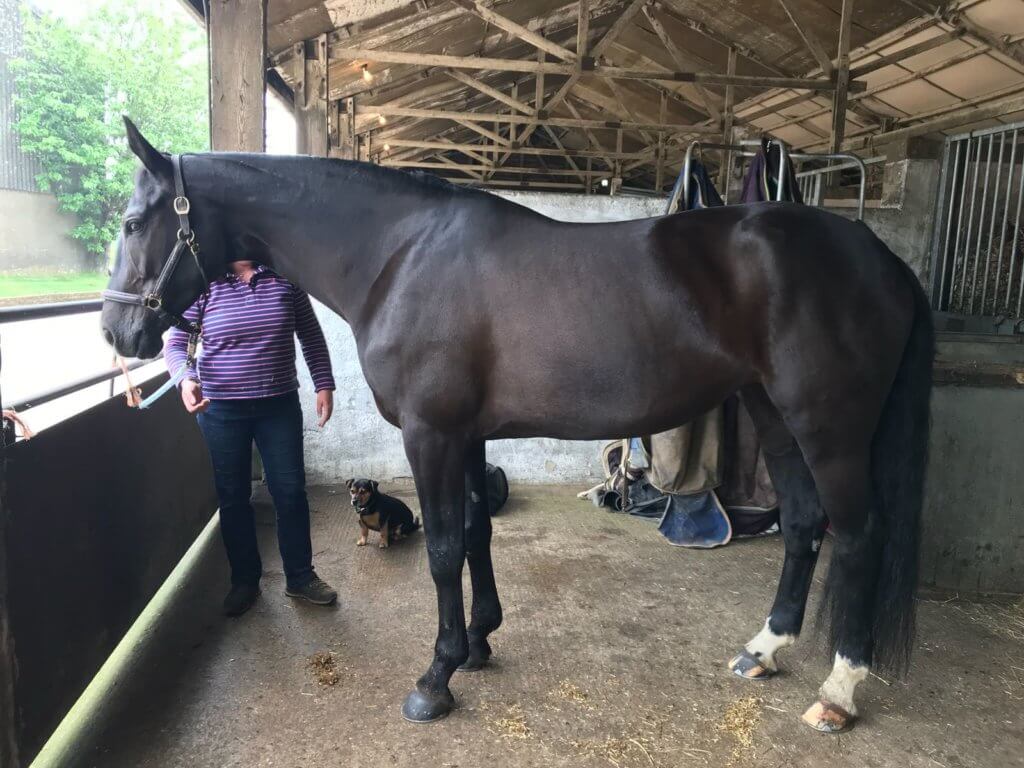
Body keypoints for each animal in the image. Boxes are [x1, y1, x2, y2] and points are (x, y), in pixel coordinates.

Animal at [102, 118, 932, 734]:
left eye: (134, 220)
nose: (117, 332)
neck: (397, 256)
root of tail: (881, 257)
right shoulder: (467, 435)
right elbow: (475, 532)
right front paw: (478, 643)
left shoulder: (431, 435)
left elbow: (441, 550)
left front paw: (435, 678)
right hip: (772, 413)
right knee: (803, 521)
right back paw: (764, 649)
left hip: (829, 427)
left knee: (859, 535)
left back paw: (838, 693)